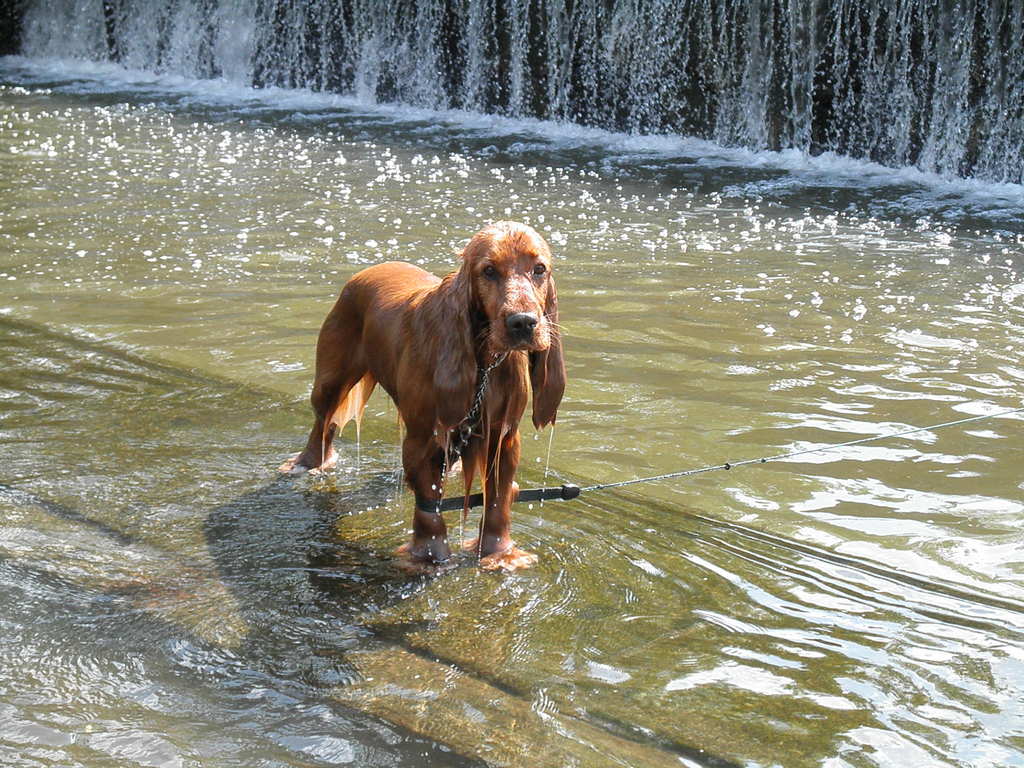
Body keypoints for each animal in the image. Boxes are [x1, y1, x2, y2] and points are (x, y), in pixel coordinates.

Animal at [280, 222, 569, 573]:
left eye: (539, 269)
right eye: (488, 271)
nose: (523, 322)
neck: (484, 363)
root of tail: (372, 268)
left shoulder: (504, 435)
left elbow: (498, 500)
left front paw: (499, 553)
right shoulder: (421, 436)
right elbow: (429, 506)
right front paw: (430, 556)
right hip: (330, 380)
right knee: (324, 422)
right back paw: (308, 463)